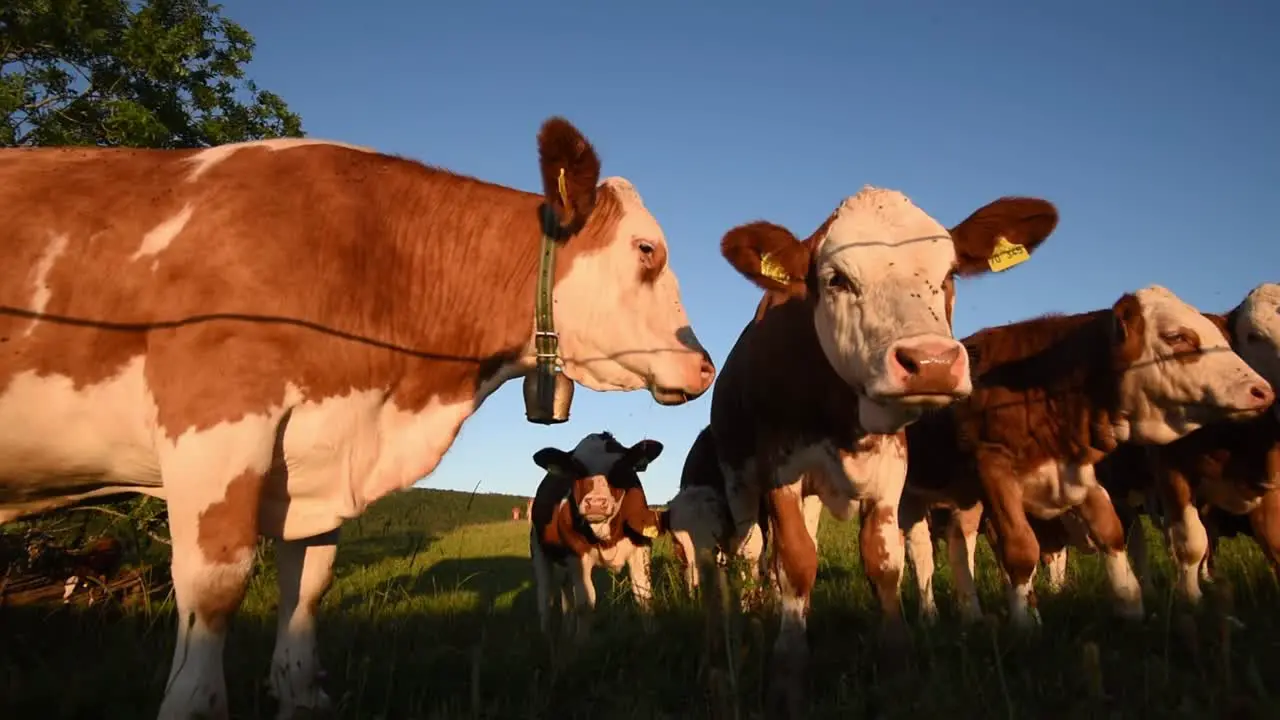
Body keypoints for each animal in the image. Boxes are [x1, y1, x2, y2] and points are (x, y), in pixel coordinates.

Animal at [529, 427, 670, 640]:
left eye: (620, 468)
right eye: (577, 470)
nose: (596, 503)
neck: (606, 534)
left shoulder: (641, 548)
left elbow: (644, 595)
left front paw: (651, 635)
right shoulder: (577, 556)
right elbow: (585, 604)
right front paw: (581, 644)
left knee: (565, 592)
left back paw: (567, 630)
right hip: (539, 549)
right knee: (545, 597)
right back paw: (547, 635)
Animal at [665, 184, 1064, 712]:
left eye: (949, 274)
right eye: (836, 279)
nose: (932, 363)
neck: (845, 417)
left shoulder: (890, 476)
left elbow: (883, 562)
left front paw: (898, 667)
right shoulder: (779, 469)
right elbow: (795, 562)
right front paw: (788, 672)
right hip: (738, 480)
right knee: (751, 551)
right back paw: (753, 611)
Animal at [901, 284, 1269, 627]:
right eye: (1176, 336)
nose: (1261, 390)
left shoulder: (1078, 472)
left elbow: (1111, 532)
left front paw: (1129, 603)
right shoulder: (994, 470)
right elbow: (1020, 548)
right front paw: (1025, 623)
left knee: (956, 544)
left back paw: (971, 614)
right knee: (920, 553)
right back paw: (930, 614)